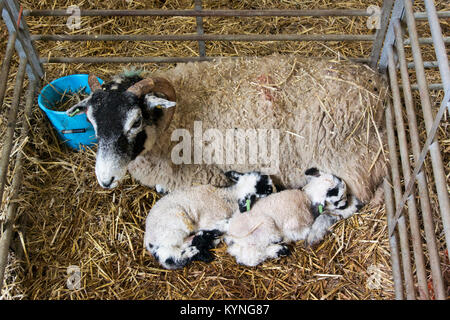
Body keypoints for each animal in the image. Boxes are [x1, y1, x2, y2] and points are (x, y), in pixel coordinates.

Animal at [66, 52, 386, 202]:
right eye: (91, 122)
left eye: (135, 122)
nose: (105, 180)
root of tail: (375, 88)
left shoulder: (203, 174)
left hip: (354, 161)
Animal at [143, 171, 274, 268]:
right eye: (266, 189)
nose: (274, 188)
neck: (229, 197)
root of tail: (149, 241)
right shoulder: (210, 220)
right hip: (177, 226)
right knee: (170, 253)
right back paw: (193, 250)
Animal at [223, 168, 364, 268]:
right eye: (339, 199)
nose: (346, 203)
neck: (307, 197)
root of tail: (231, 236)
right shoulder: (296, 226)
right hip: (265, 227)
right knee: (251, 257)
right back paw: (279, 249)